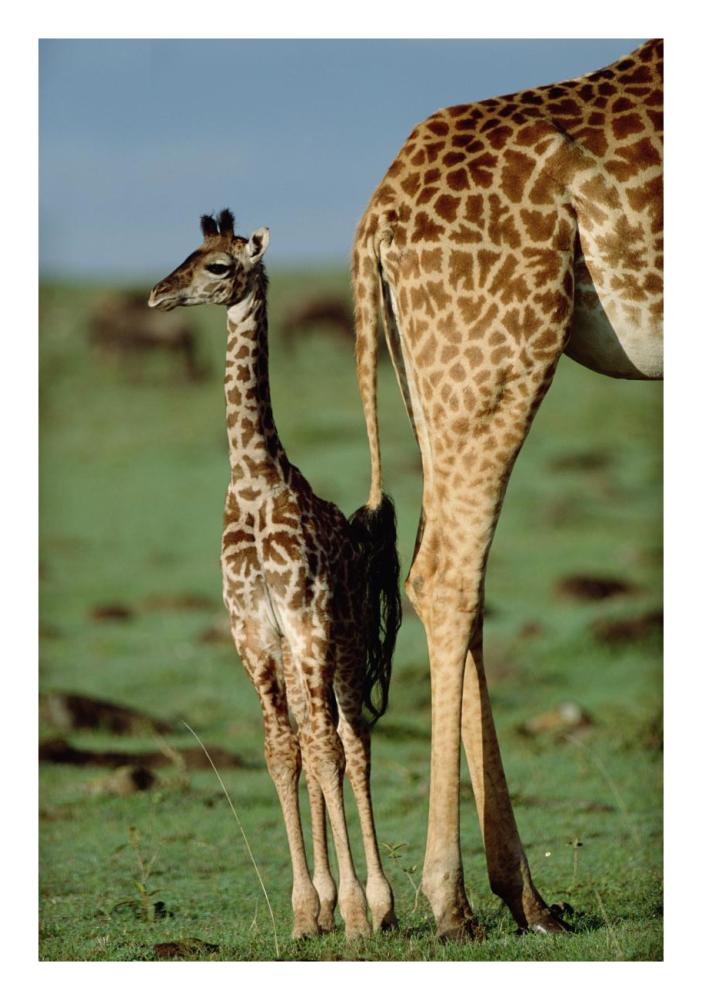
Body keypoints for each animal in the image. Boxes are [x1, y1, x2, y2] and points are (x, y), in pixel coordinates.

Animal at [148, 210, 401, 940]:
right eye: (188, 253)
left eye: (217, 266)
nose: (156, 295)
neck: (255, 484)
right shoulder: (255, 634)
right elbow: (282, 753)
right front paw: (305, 911)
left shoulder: (308, 623)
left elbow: (325, 751)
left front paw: (354, 913)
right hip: (297, 655)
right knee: (317, 745)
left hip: (344, 643)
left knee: (351, 739)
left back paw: (381, 903)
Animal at [353, 39, 662, 939]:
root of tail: (377, 216)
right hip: (501, 346)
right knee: (446, 572)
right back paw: (450, 900)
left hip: (434, 371)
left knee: (454, 572)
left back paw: (527, 897)